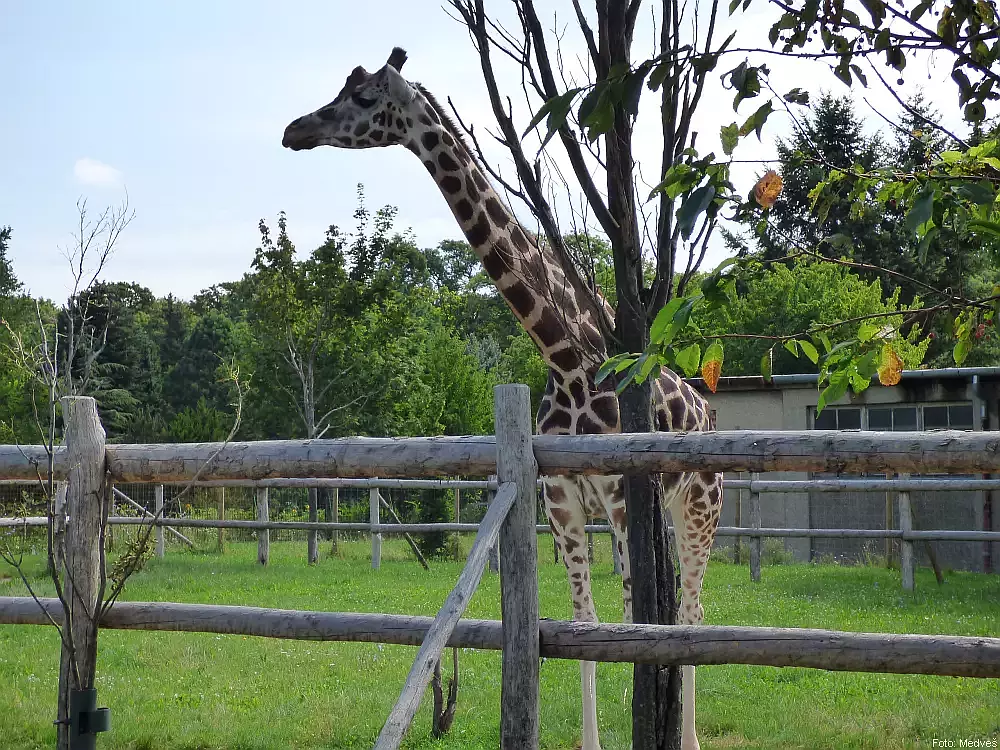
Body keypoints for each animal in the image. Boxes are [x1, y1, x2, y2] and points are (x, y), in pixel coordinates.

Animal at [286, 48, 724, 750]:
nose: (293, 130)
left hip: (700, 504)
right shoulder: (561, 497)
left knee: (691, 612)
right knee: (680, 609)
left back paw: (688, 738)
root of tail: (708, 411)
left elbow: (635, 625)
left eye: (363, 97)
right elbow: (585, 622)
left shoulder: (622, 493)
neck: (566, 359)